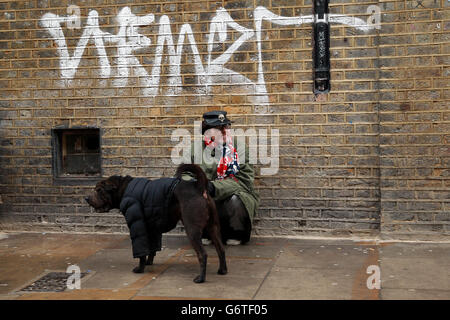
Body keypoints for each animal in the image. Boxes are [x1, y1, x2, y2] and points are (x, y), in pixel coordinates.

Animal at [85, 165, 227, 282]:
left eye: (99, 190)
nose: (86, 198)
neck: (123, 188)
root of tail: (198, 187)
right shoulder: (152, 228)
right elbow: (151, 249)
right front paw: (149, 262)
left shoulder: (137, 225)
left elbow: (141, 251)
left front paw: (140, 268)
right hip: (213, 228)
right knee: (221, 249)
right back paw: (222, 270)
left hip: (192, 230)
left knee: (202, 254)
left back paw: (201, 278)